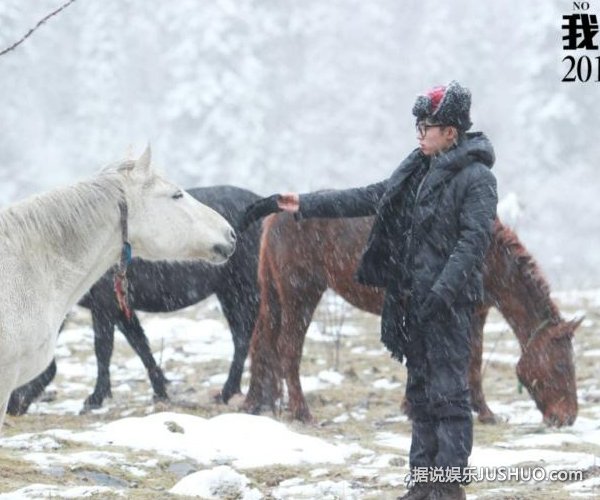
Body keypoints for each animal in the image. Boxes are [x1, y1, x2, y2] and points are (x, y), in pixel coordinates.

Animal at [243, 214, 580, 426]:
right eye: (561, 366)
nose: (568, 418)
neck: (486, 256)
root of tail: (275, 218)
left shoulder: (474, 315)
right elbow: (467, 361)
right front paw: (482, 412)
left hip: (275, 298)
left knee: (263, 345)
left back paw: (258, 404)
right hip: (300, 295)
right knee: (288, 350)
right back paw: (302, 413)